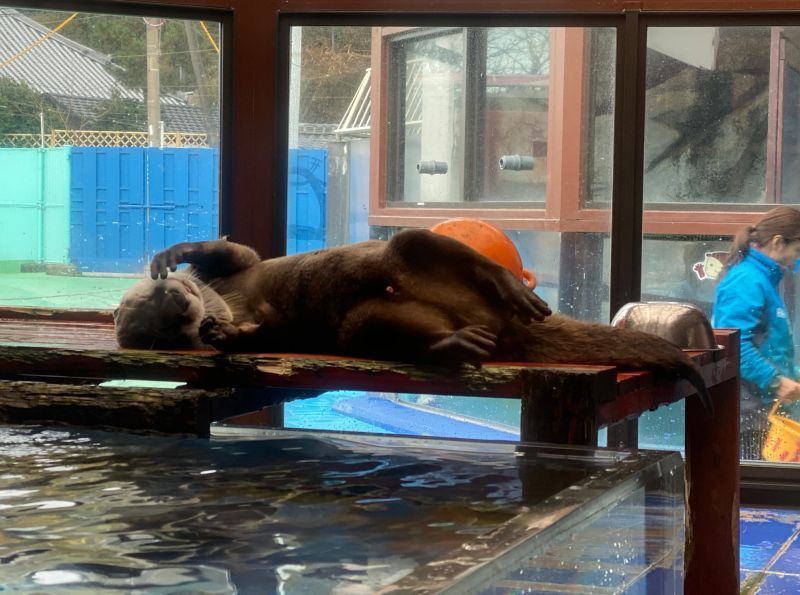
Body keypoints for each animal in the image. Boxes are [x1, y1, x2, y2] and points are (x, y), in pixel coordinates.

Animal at [114, 230, 711, 410]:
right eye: (164, 329)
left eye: (158, 297)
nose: (180, 305)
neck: (230, 301)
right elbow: (264, 332)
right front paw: (221, 334)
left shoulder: (237, 267)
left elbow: (230, 249)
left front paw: (173, 254)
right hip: (372, 320)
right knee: (371, 322)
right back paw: (457, 345)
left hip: (409, 253)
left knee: (415, 246)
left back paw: (510, 286)